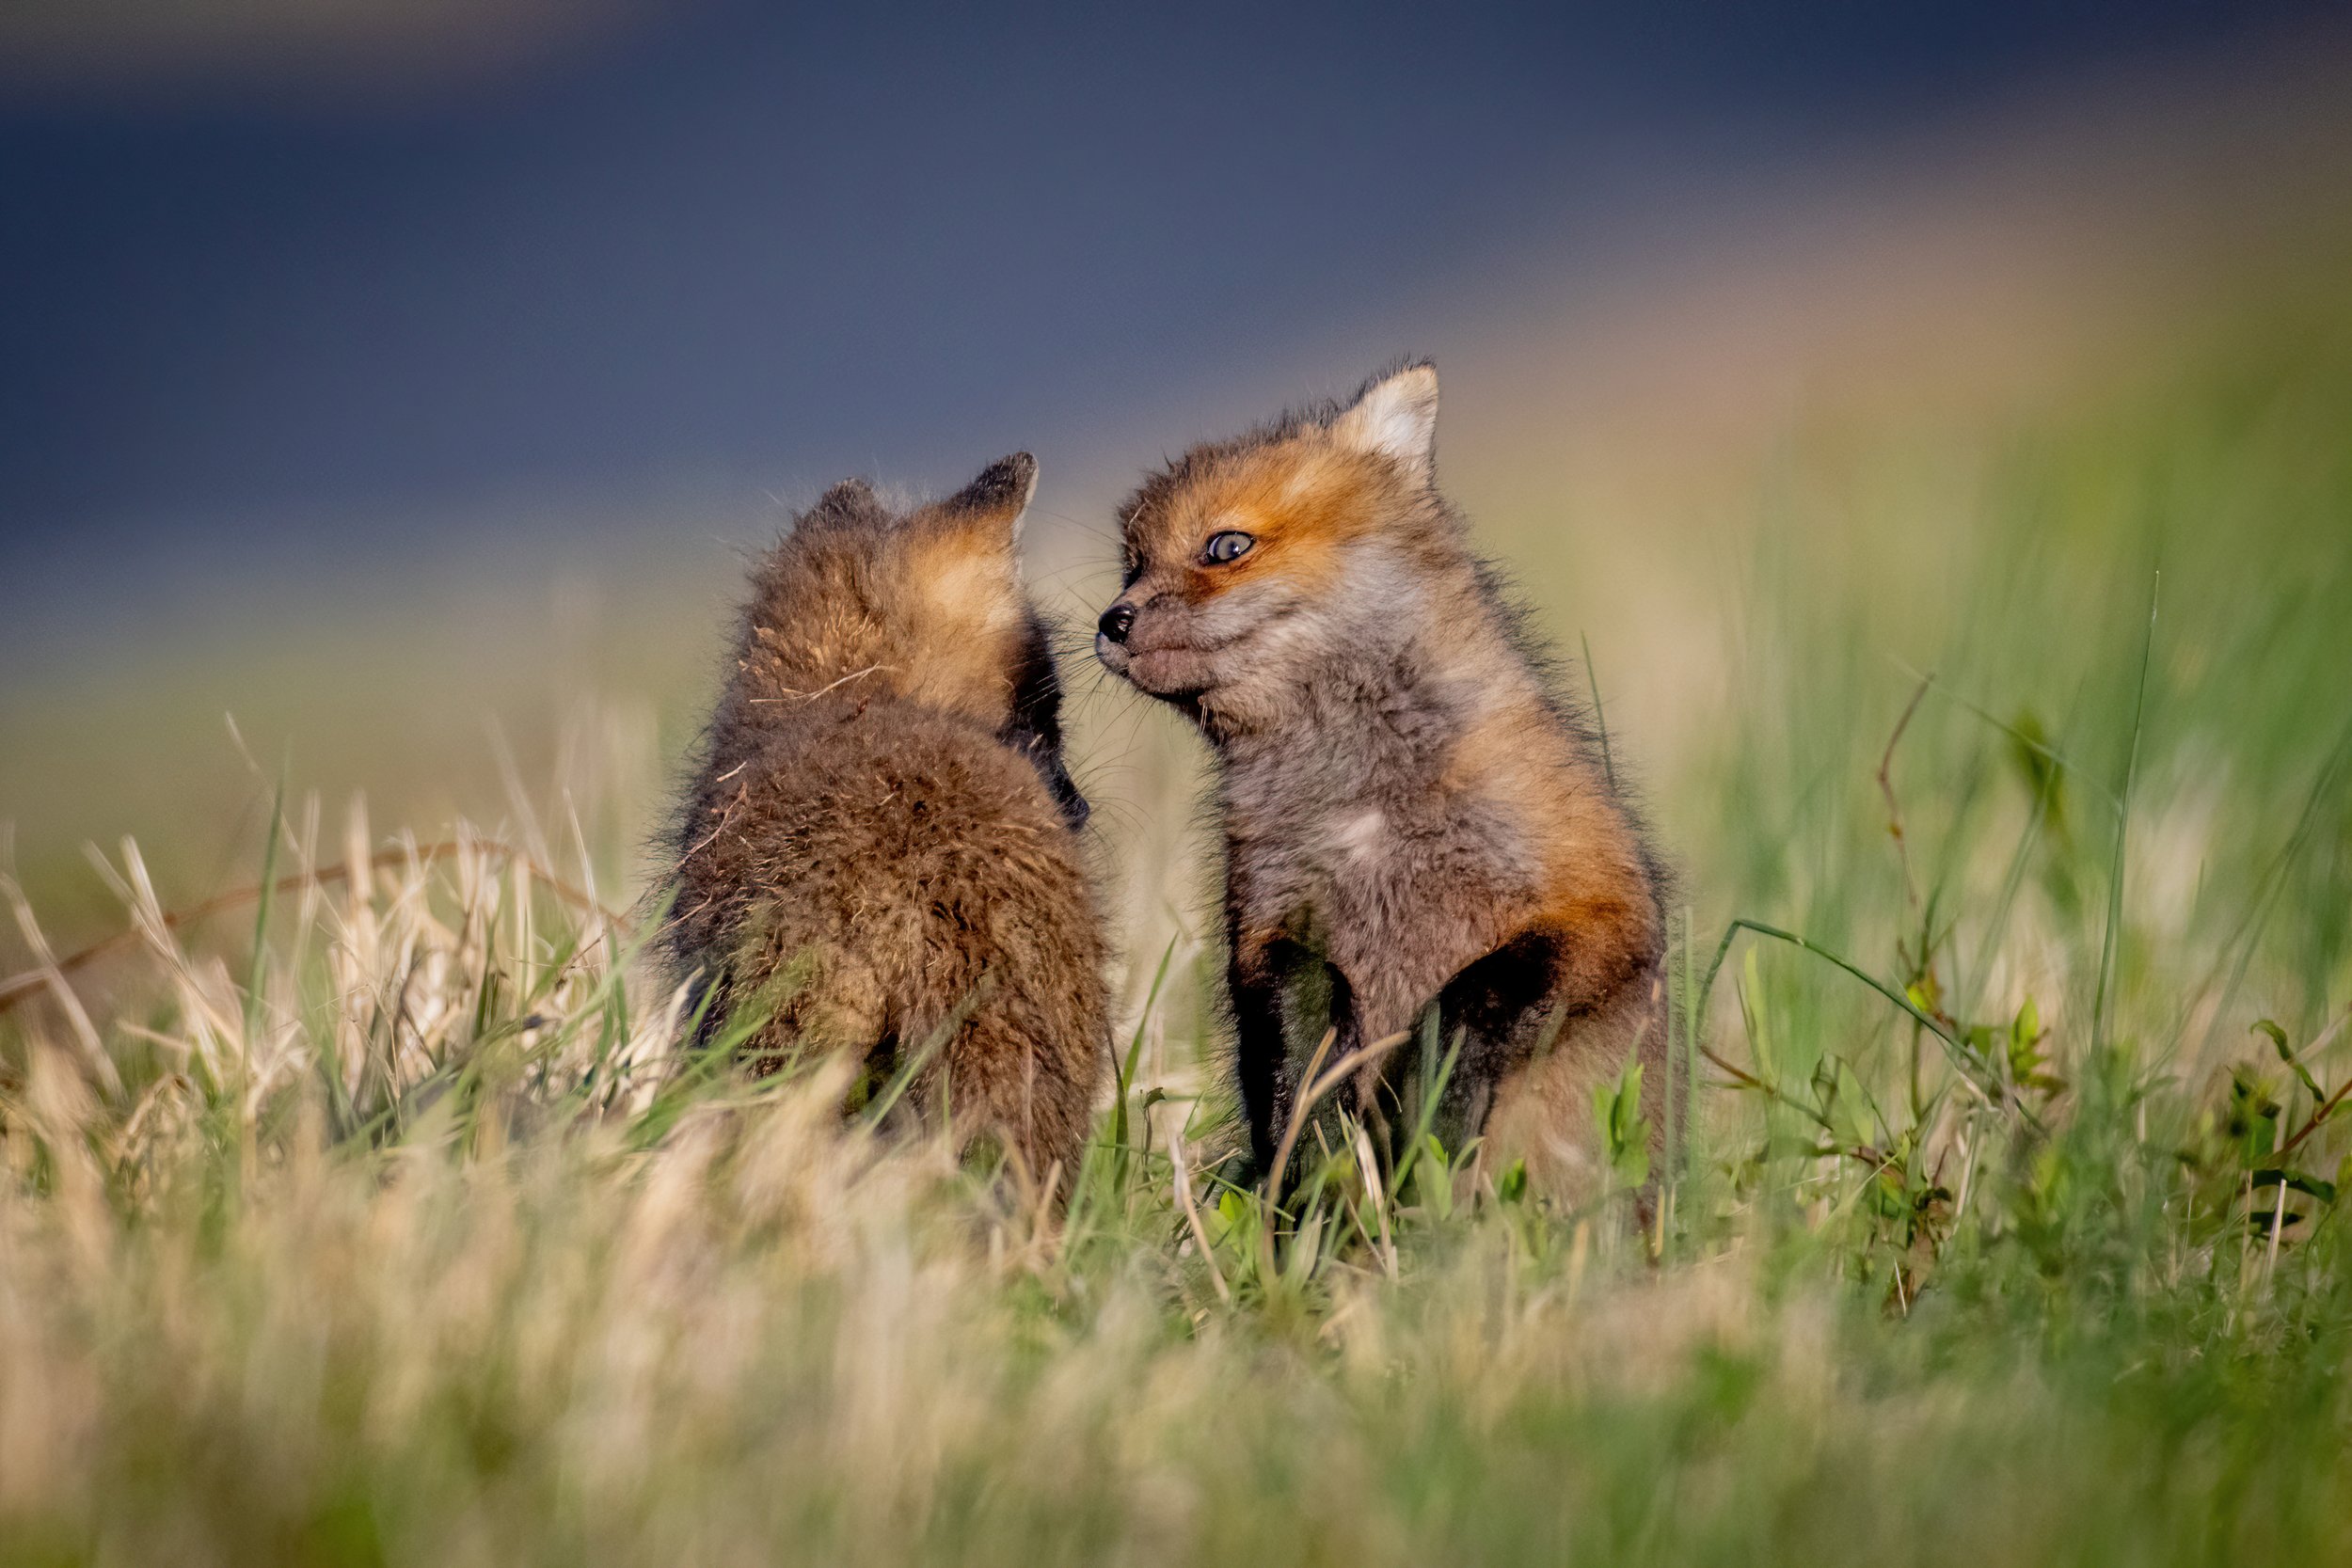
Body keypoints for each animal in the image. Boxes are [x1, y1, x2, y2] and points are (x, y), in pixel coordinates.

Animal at [1094, 363, 1671, 1199]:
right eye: (1132, 566)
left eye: (1226, 545)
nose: (1111, 621)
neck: (1367, 815)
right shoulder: (1269, 930)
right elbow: (1298, 1060)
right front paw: (1323, 1154)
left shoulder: (1595, 900)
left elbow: (1471, 1000)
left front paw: (1432, 1105)